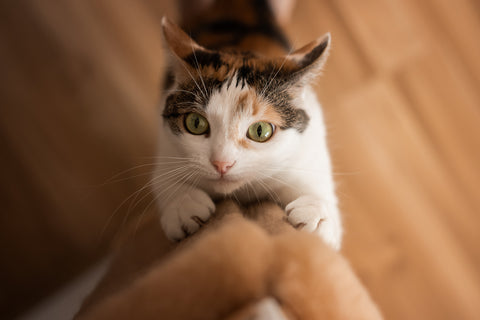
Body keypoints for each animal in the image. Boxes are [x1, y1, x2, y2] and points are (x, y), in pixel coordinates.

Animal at [154, 0, 342, 250]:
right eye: (195, 123)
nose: (222, 164)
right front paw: (183, 203)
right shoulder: (166, 145)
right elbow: (163, 176)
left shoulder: (308, 148)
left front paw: (317, 214)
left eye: (260, 131)